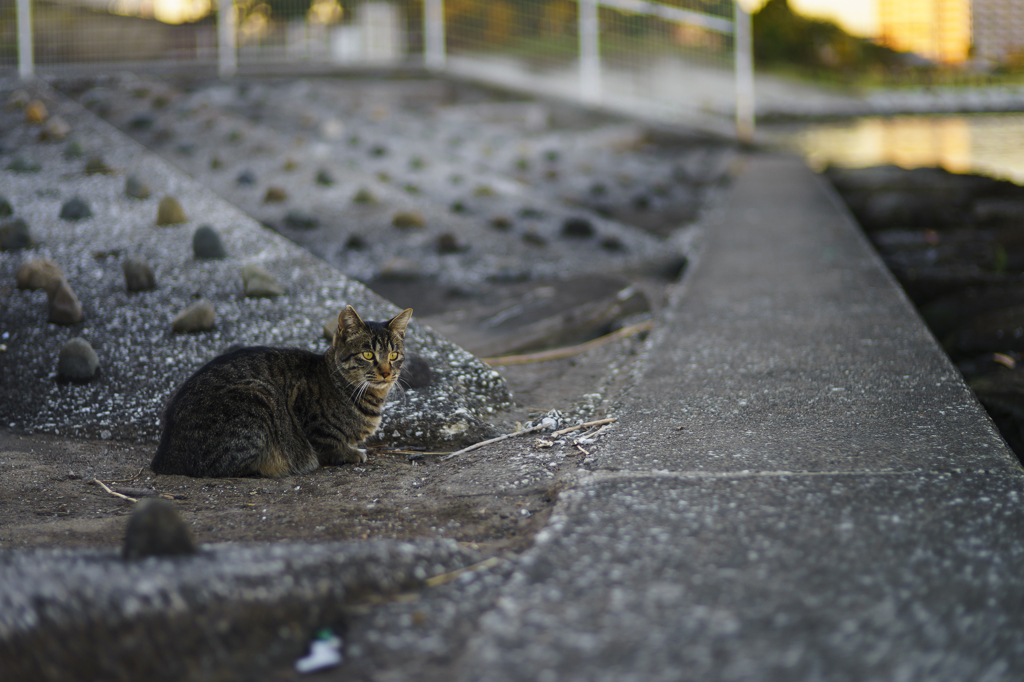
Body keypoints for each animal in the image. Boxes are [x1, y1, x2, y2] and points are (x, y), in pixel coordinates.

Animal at [149, 305, 411, 475]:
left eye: (394, 355)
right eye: (368, 355)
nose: (386, 373)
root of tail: (164, 455)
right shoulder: (309, 422)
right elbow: (328, 445)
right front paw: (350, 452)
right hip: (260, 395)